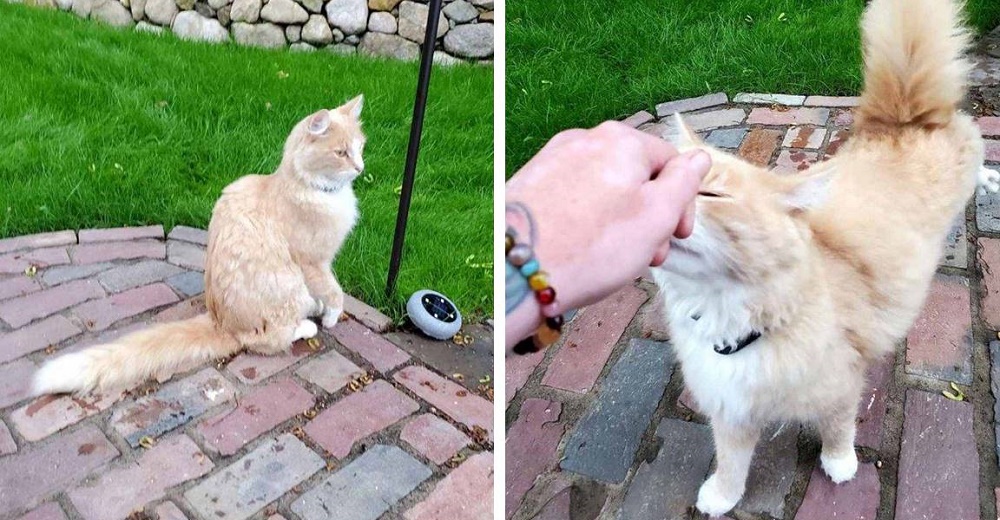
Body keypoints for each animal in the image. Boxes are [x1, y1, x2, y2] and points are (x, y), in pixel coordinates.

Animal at [648, 0, 1000, 516]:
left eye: (711, 192)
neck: (732, 319)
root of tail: (902, 119)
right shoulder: (730, 411)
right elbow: (730, 462)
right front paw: (722, 496)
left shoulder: (839, 387)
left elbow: (838, 430)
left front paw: (840, 464)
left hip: (965, 162)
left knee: (979, 154)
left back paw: (993, 180)